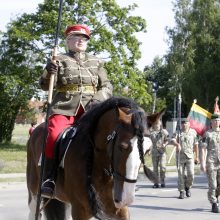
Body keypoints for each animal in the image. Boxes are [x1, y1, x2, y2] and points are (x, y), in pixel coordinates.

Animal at [26, 97, 162, 219]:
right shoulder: (79, 210)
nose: (127, 197)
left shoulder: (120, 209)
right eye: (122, 146)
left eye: (147, 150)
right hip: (34, 193)